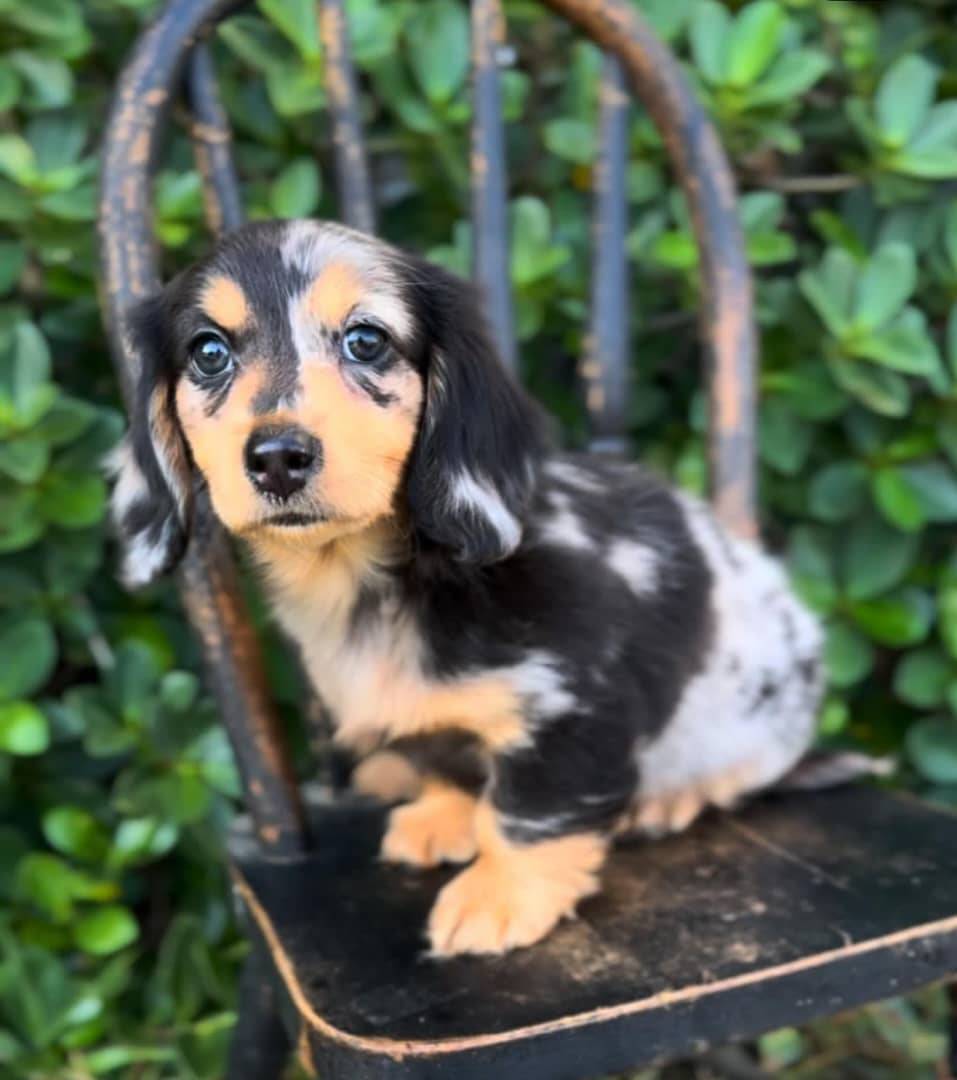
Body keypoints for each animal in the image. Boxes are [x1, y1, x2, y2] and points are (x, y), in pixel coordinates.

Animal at [109, 219, 825, 957]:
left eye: (367, 340)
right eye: (209, 351)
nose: (278, 457)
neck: (385, 579)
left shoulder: (571, 704)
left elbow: (527, 810)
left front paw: (499, 897)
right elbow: (447, 761)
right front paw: (443, 819)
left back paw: (669, 798)